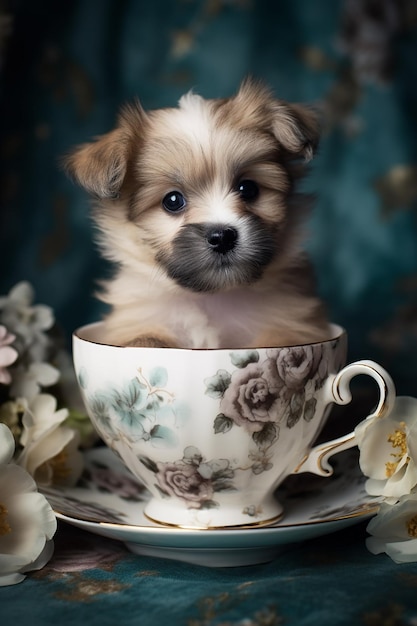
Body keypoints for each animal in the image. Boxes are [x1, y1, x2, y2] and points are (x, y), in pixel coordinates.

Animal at [65, 78, 326, 348]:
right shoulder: (139, 319)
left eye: (248, 189)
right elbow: (145, 339)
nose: (222, 237)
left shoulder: (291, 323)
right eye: (172, 201)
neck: (212, 297)